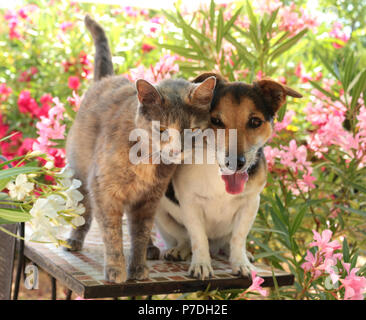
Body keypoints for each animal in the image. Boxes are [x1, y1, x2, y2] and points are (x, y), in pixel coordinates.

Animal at [64, 15, 216, 282]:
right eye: (162, 128)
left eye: (192, 130)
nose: (176, 151)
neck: (148, 160)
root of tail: (105, 79)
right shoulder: (105, 191)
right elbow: (112, 232)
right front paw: (116, 269)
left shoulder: (149, 199)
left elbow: (140, 232)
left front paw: (138, 266)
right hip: (80, 174)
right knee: (83, 210)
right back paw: (74, 239)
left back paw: (152, 249)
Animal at [150, 74, 302, 278]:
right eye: (216, 120)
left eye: (255, 122)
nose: (236, 163)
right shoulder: (190, 203)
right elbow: (198, 237)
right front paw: (201, 264)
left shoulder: (251, 203)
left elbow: (238, 237)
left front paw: (241, 263)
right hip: (160, 212)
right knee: (184, 238)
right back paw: (180, 250)